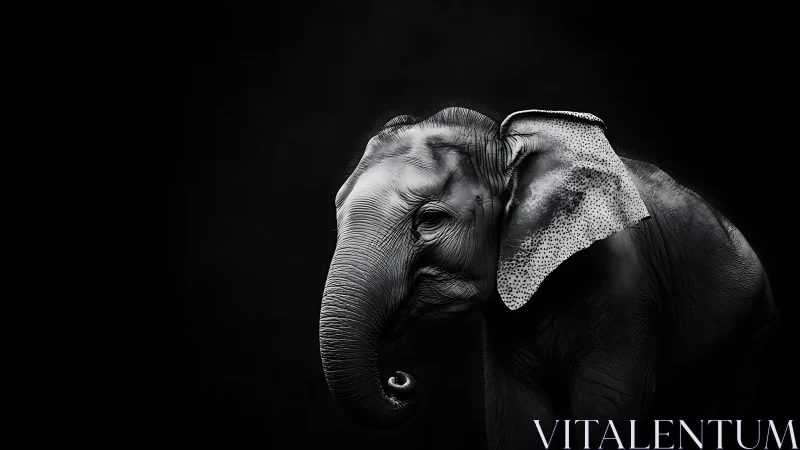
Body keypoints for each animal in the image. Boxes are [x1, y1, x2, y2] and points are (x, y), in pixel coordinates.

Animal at [319, 107, 780, 450]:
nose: (399, 380)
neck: (507, 143)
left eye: (430, 219)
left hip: (752, 335)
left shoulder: (628, 292)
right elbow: (517, 418)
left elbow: (606, 409)